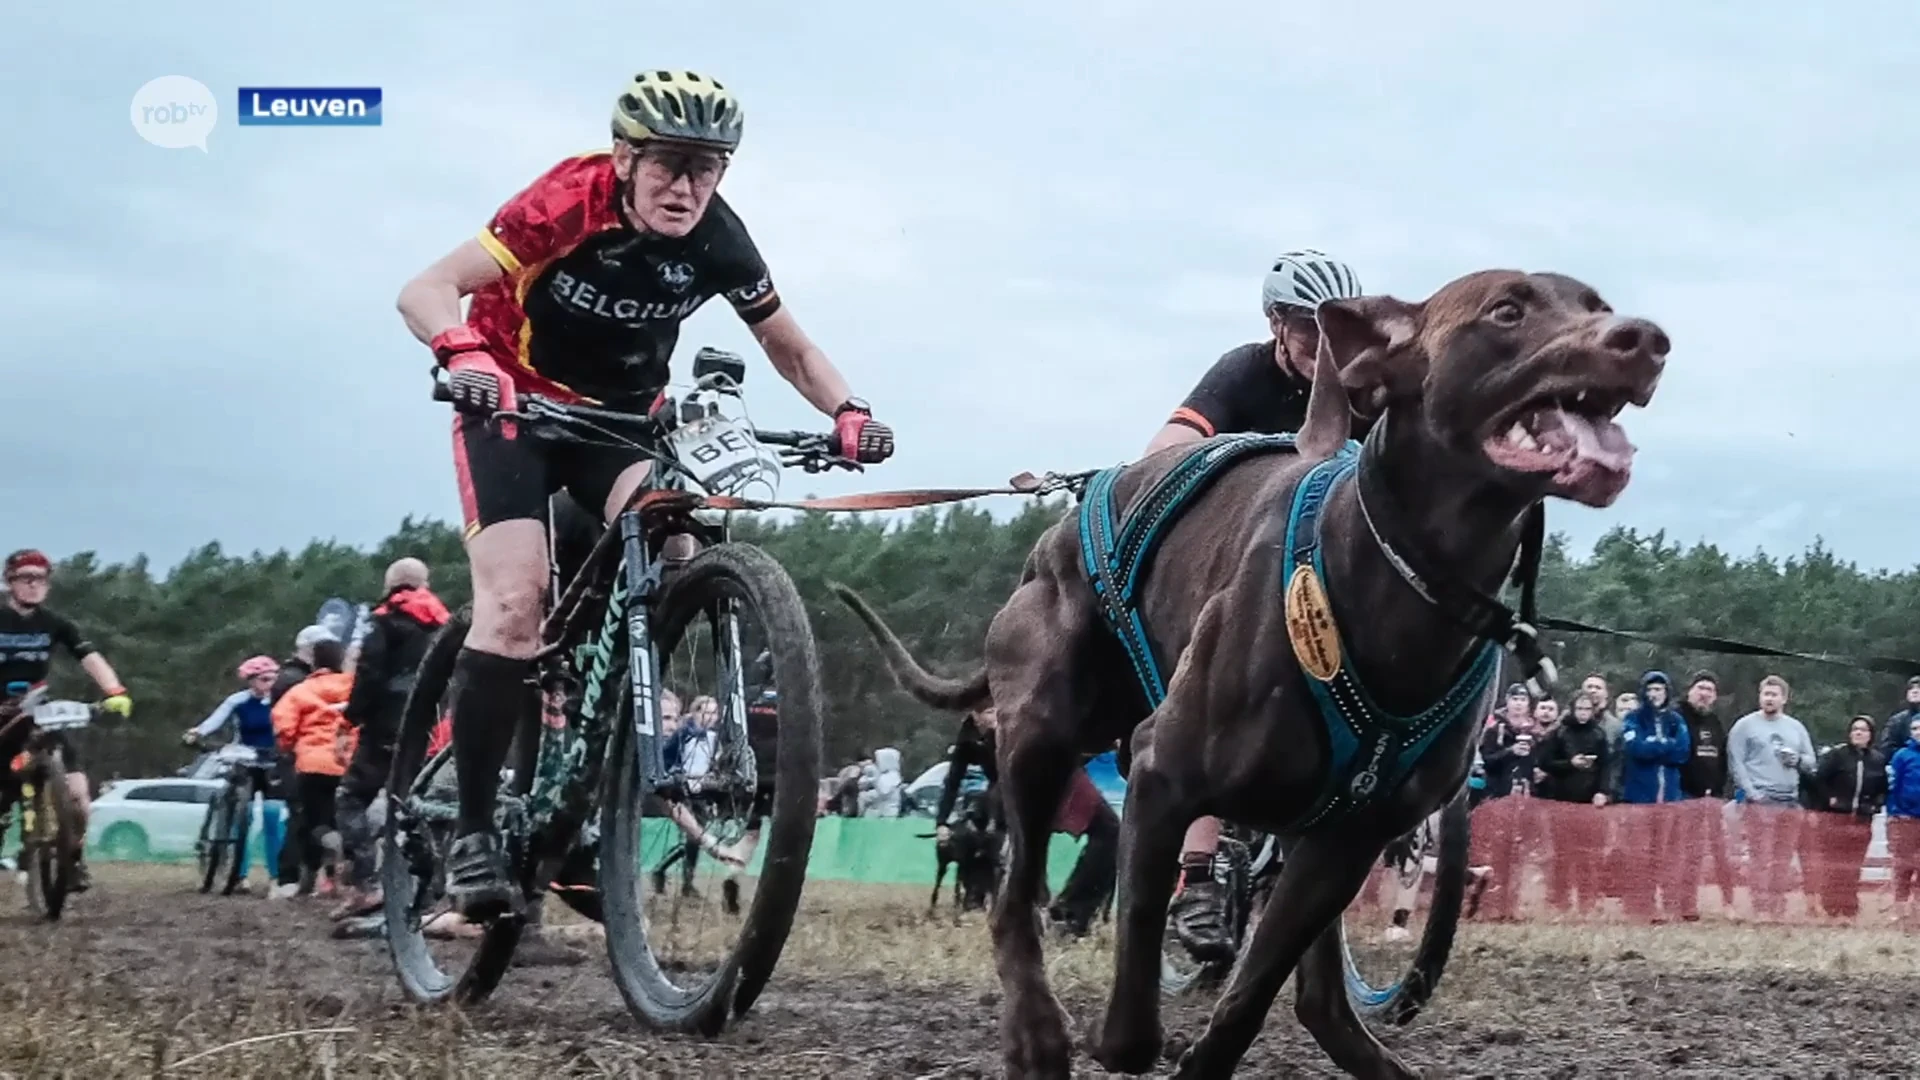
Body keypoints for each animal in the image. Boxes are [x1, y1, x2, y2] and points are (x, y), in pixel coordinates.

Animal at [837, 267, 1666, 1068]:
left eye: (1599, 305)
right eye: (1506, 311)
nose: (1646, 338)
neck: (1406, 579)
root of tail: (1053, 537)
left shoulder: (1346, 840)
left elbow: (1250, 1000)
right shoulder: (1161, 776)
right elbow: (1135, 1002)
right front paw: (1128, 1040)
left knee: (1320, 1000)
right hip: (1042, 736)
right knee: (1013, 902)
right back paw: (1036, 1039)